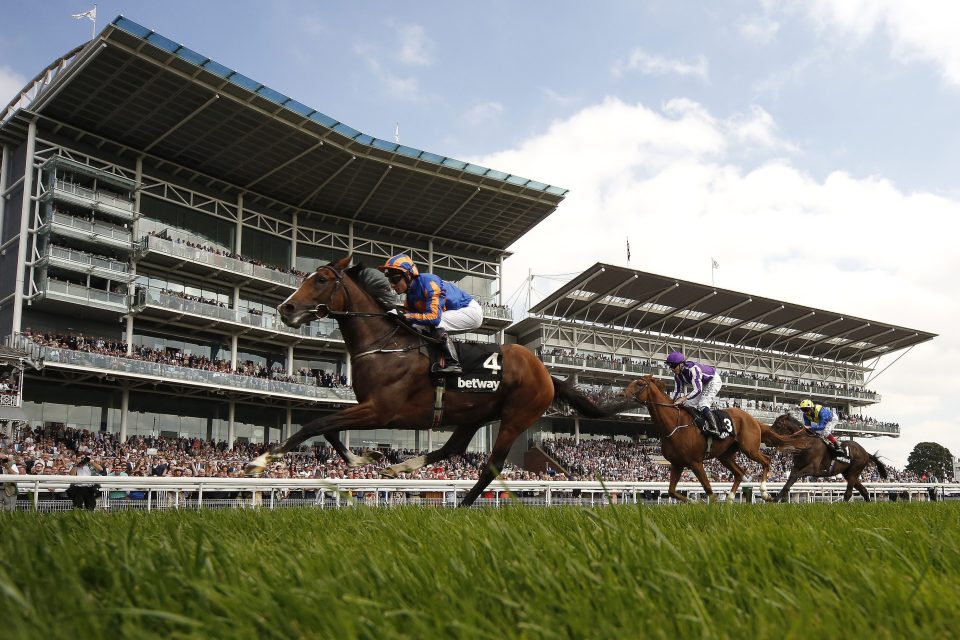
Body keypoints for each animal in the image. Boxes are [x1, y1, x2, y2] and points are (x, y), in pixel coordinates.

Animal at [248, 255, 636, 504]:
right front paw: (367, 458)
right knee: (453, 449)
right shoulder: (368, 407)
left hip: (515, 418)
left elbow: (314, 424)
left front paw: (259, 461)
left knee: (491, 466)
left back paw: (462, 505)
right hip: (472, 415)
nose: (286, 308)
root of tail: (546, 372)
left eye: (322, 280)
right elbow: (327, 429)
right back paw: (401, 467)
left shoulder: (380, 409)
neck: (385, 344)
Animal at [624, 376, 808, 504]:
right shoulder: (677, 464)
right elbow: (671, 491)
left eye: (639, 384)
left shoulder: (695, 462)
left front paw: (708, 505)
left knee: (767, 460)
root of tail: (753, 419)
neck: (674, 424)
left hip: (749, 448)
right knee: (739, 472)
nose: (621, 394)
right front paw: (694, 502)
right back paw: (730, 499)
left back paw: (764, 492)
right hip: (724, 455)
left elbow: (708, 488)